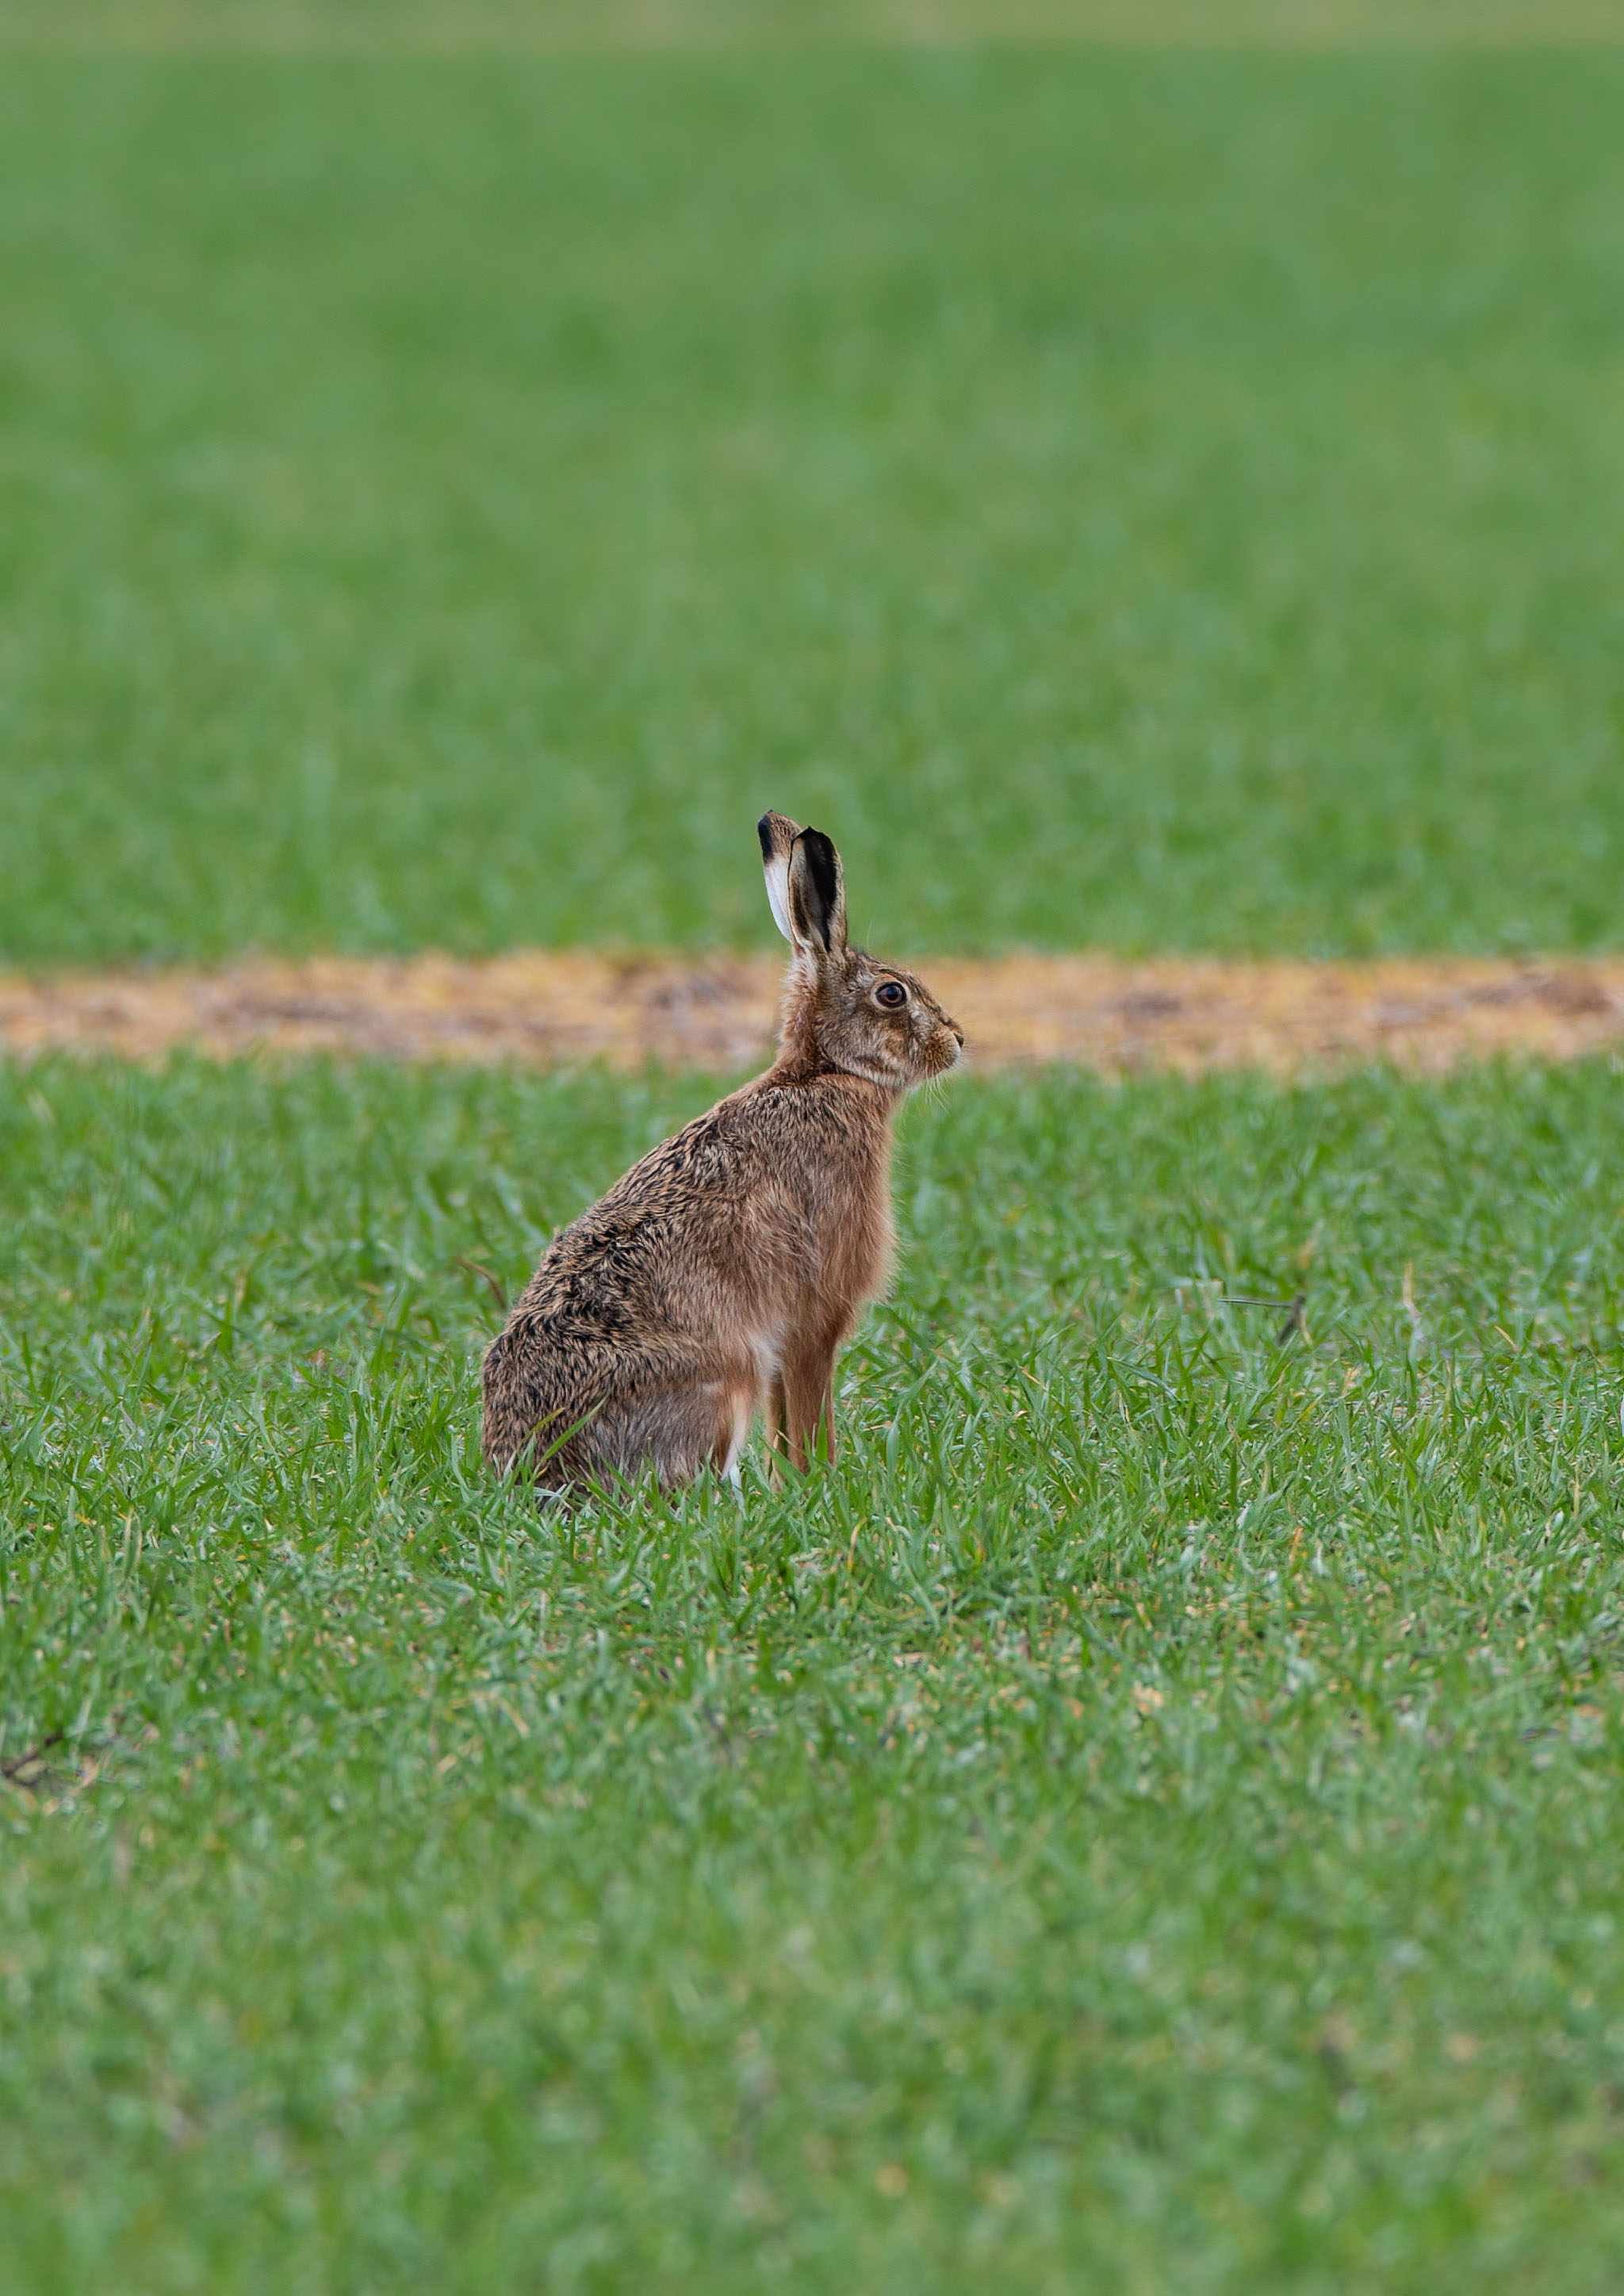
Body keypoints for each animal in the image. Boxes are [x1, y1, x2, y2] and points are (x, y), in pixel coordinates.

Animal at [481, 812, 963, 1493]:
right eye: (892, 994)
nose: (957, 1040)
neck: (824, 1073)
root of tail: (536, 1469)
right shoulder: (813, 1317)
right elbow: (810, 1416)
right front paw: (819, 1482)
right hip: (728, 1376)